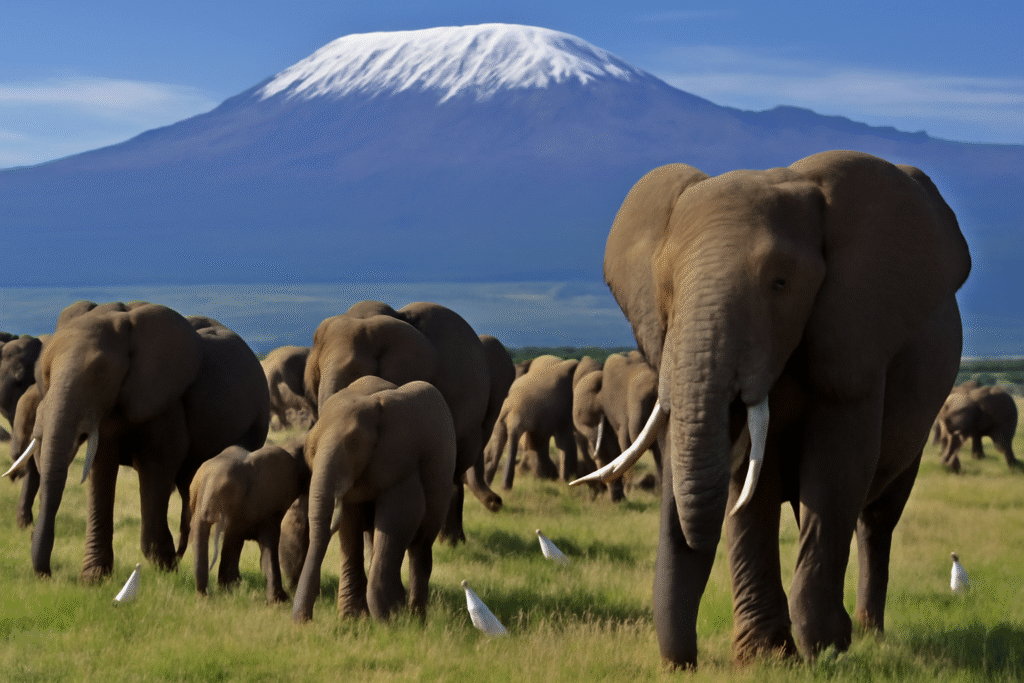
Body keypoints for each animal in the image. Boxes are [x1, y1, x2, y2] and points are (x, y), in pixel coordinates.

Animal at [14, 301, 271, 581]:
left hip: (257, 420)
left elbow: (156, 465)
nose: (47, 575)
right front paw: (94, 579)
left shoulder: (165, 400)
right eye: (46, 373)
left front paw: (165, 568)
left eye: (101, 373)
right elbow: (101, 468)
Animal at [189, 442, 310, 603]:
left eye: (227, 492)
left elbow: (267, 541)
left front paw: (278, 602)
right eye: (194, 492)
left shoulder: (267, 503)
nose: (205, 596)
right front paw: (229, 590)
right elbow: (233, 540)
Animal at [292, 377, 456, 623]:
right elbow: (349, 528)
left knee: (421, 546)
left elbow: (399, 519)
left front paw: (392, 618)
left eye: (354, 442)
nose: (305, 621)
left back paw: (417, 618)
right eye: (310, 448)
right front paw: (352, 619)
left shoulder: (401, 461)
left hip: (441, 488)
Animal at [573, 151, 970, 668]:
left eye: (781, 283)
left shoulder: (854, 343)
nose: (685, 665)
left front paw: (826, 651)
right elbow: (747, 488)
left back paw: (868, 633)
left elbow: (837, 469)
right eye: (666, 289)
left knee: (877, 517)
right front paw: (769, 657)